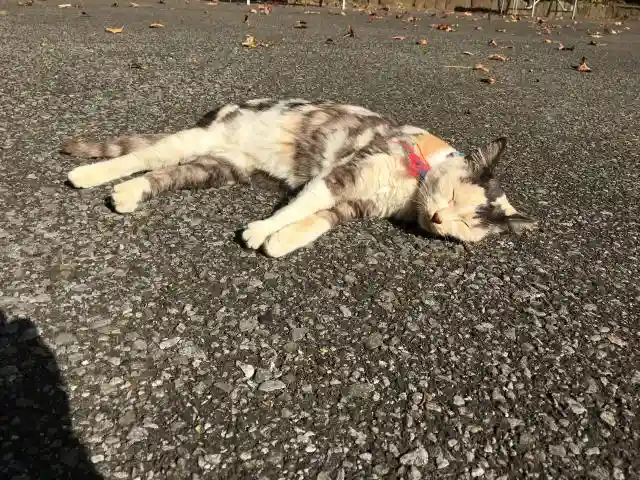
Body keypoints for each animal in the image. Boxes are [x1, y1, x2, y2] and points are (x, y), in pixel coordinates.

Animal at [63, 97, 537, 257]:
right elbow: (300, 205)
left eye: (465, 226)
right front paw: (262, 230)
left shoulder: (354, 204)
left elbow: (317, 222)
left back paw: (126, 195)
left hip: (220, 169)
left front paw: (280, 243)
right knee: (141, 155)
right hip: (197, 139)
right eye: (455, 198)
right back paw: (87, 175)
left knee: (161, 174)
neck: (411, 190)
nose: (439, 220)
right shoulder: (342, 176)